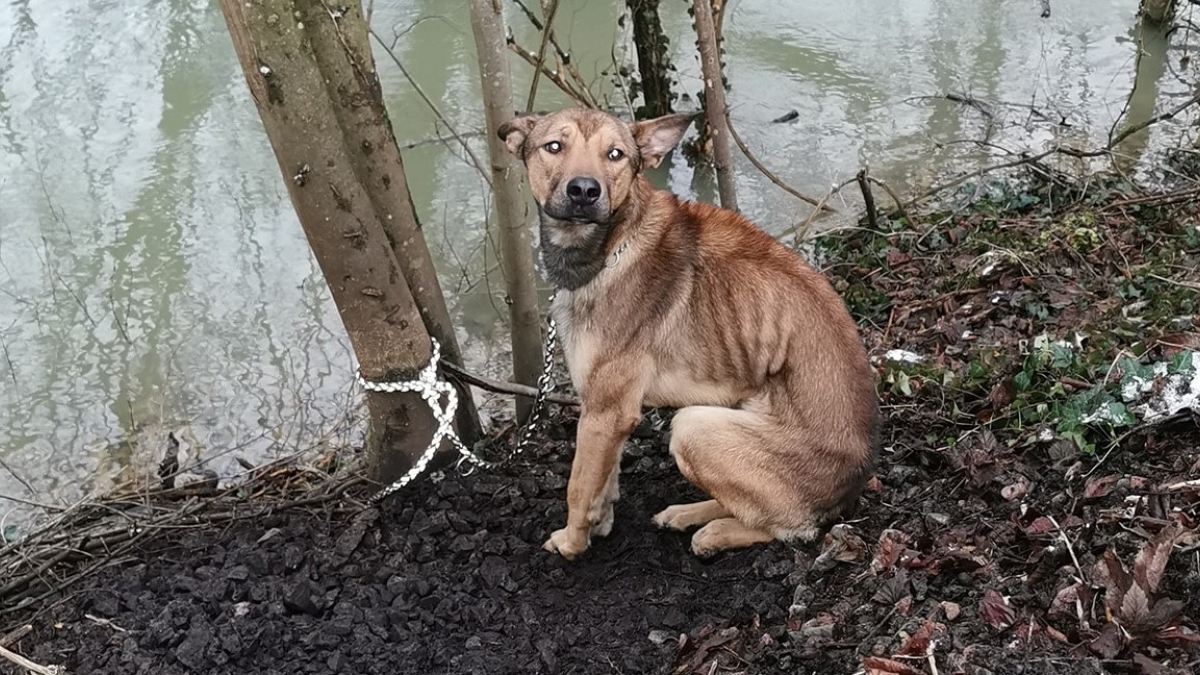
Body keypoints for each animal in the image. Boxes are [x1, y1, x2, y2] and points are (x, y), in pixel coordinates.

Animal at [496, 106, 883, 557]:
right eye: (554, 146)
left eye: (615, 154)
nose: (584, 191)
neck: (614, 244)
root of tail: (851, 490)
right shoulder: (610, 415)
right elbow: (604, 481)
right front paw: (600, 524)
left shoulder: (605, 411)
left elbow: (579, 487)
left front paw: (573, 543)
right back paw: (689, 513)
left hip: (694, 428)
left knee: (789, 526)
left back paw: (716, 532)